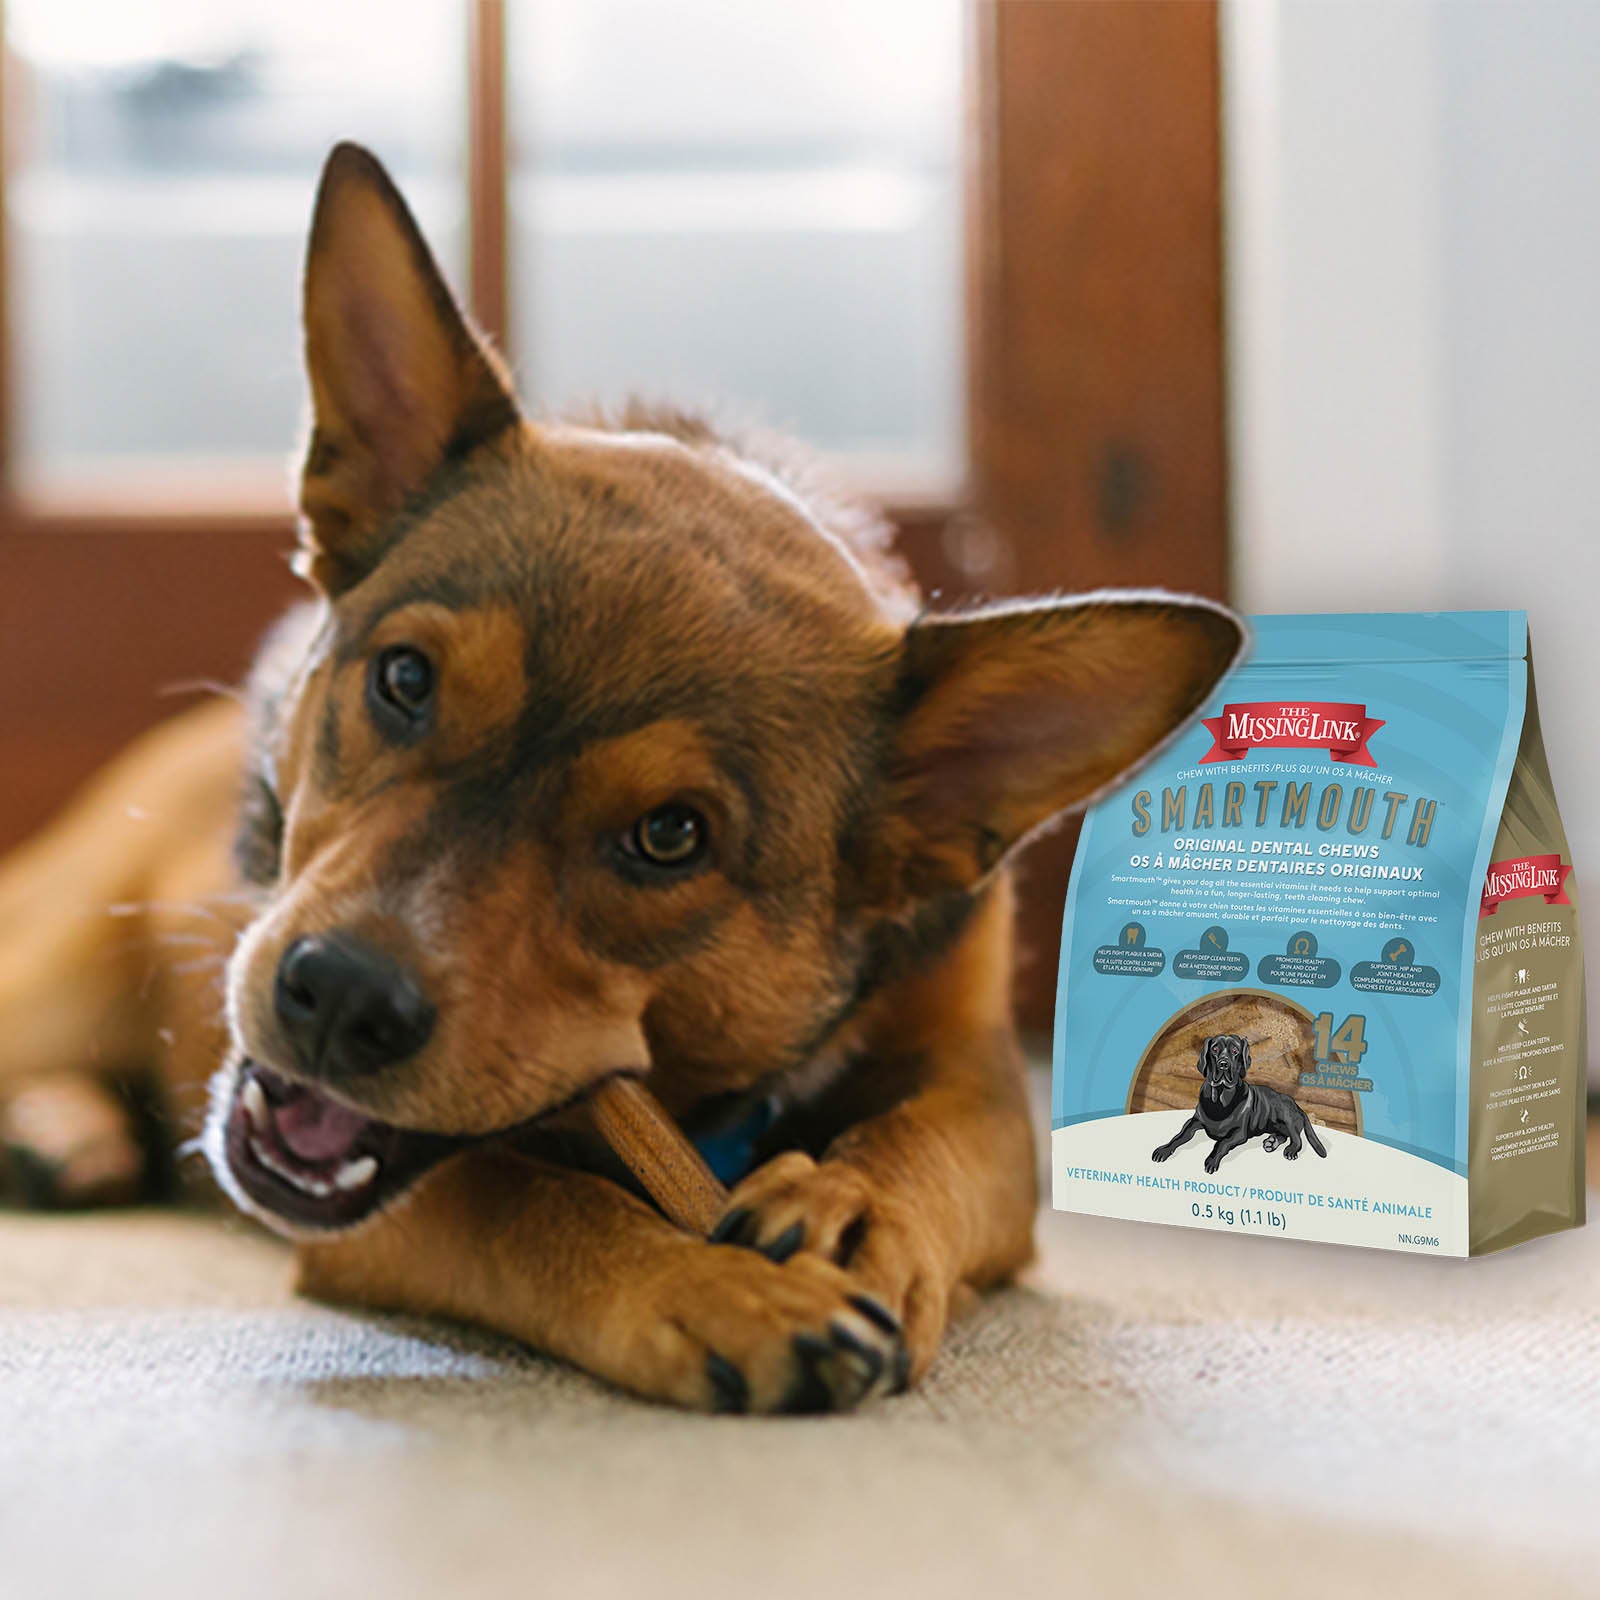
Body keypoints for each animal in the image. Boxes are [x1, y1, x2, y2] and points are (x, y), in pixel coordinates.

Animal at [0, 144, 1241, 1408]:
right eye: (403, 679)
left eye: (669, 835)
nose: (338, 995)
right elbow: (527, 1199)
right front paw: (711, 1286)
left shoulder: (976, 1069)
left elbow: (924, 1139)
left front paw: (856, 1205)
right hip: (49, 970)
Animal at [1152, 1030, 1324, 1171]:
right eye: (1215, 1049)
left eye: (1235, 1051)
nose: (1223, 1064)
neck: (1219, 1100)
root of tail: (1297, 1105)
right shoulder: (1193, 1122)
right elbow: (1178, 1136)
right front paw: (1163, 1149)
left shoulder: (1239, 1133)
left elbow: (1221, 1143)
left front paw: (1212, 1160)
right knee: (1283, 1135)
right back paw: (1272, 1142)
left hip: (1286, 1116)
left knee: (1297, 1138)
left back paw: (1290, 1150)